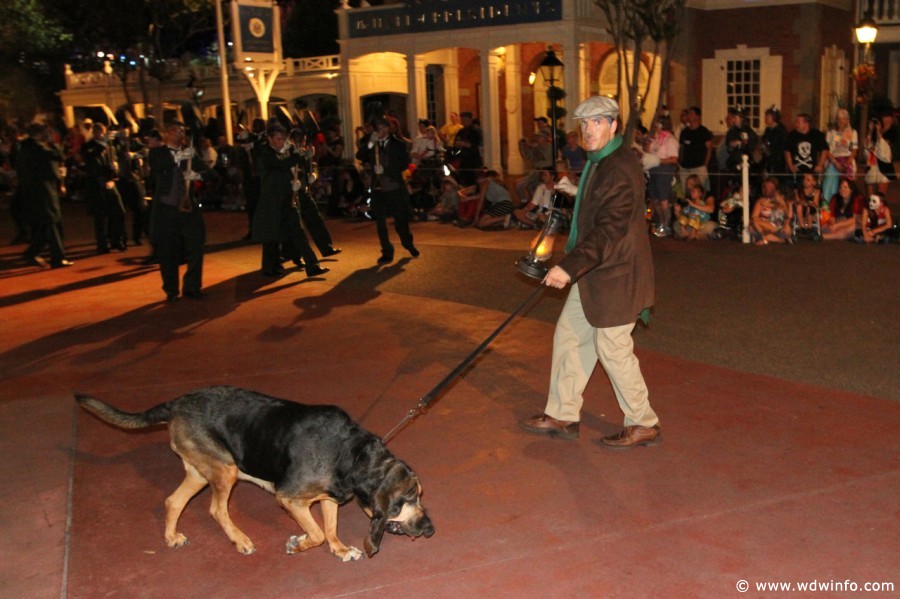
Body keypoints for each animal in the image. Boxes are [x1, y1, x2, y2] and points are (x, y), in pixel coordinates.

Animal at [75, 386, 434, 560]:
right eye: (410, 498)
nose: (430, 529)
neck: (354, 456)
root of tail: (175, 403)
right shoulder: (288, 499)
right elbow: (317, 533)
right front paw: (299, 544)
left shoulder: (329, 498)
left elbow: (329, 530)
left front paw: (340, 549)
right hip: (226, 471)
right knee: (216, 509)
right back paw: (240, 540)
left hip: (201, 471)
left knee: (173, 501)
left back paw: (172, 537)